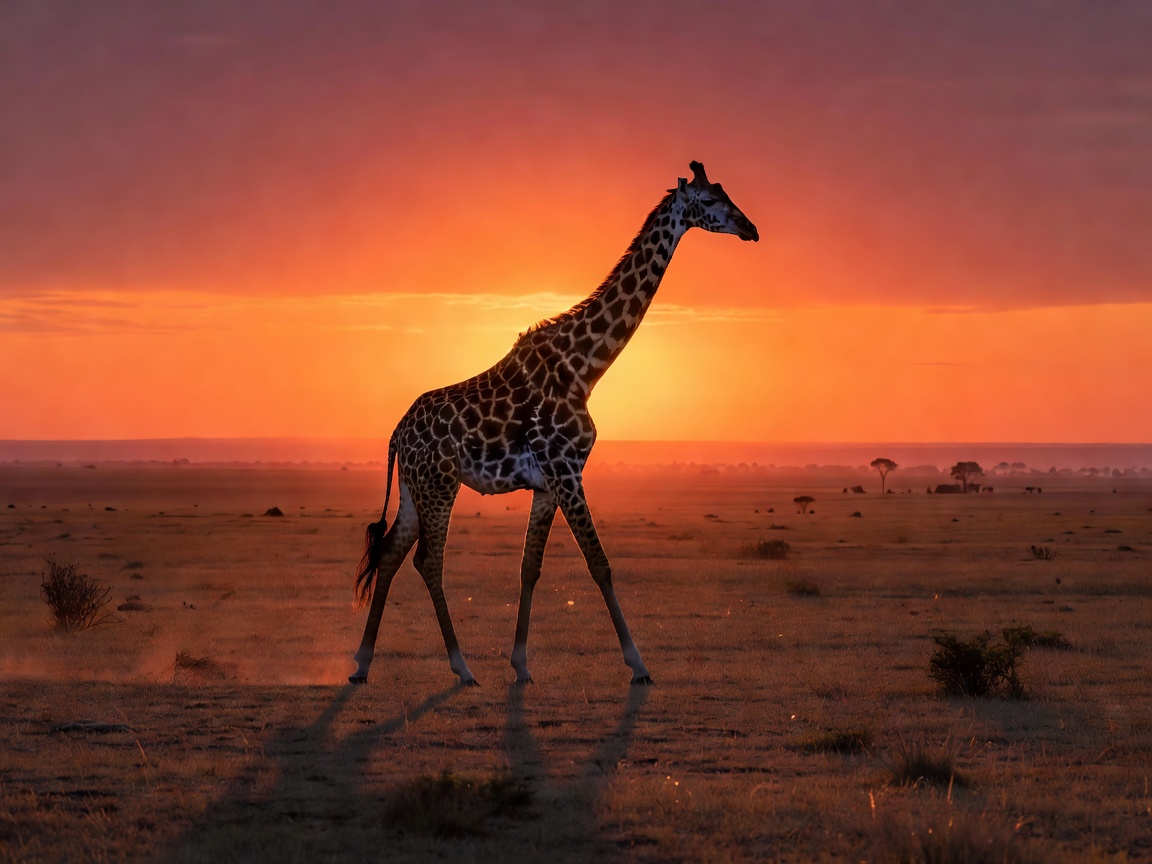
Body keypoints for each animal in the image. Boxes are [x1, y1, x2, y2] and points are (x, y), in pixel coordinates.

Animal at [350, 161, 758, 686]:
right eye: (709, 201)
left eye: (727, 193)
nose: (750, 229)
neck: (584, 367)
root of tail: (397, 433)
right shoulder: (567, 470)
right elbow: (599, 564)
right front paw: (638, 665)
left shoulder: (547, 482)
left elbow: (530, 567)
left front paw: (522, 664)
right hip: (440, 483)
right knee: (427, 560)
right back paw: (462, 668)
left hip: (413, 486)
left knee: (390, 553)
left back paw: (362, 663)